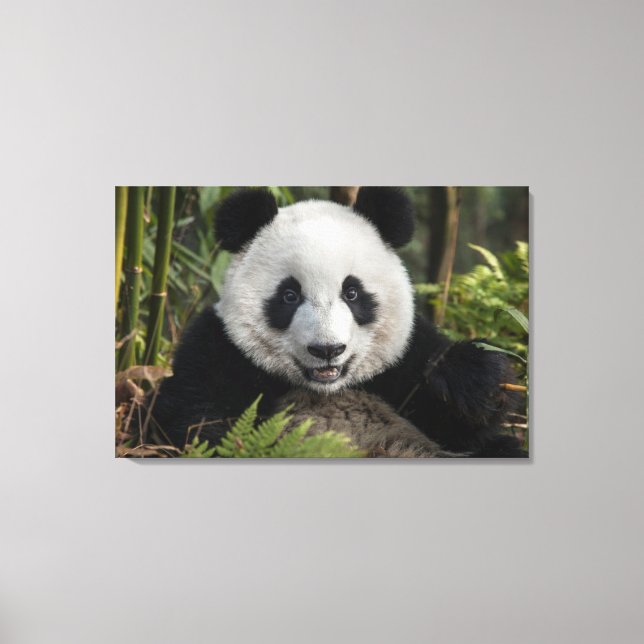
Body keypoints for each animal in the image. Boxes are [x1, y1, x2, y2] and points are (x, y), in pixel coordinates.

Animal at [146, 187, 526, 458]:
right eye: (289, 295)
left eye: (352, 292)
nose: (327, 349)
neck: (326, 388)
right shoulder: (218, 350)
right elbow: (194, 426)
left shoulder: (404, 357)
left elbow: (460, 426)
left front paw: (471, 378)